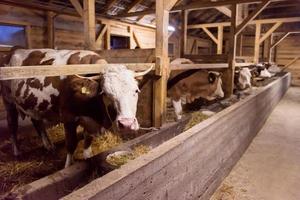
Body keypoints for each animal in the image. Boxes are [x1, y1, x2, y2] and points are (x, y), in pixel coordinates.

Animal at [0, 48, 151, 167]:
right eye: (105, 93)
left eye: (136, 90)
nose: (127, 124)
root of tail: (13, 50)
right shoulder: (68, 118)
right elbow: (71, 144)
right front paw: (68, 166)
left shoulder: (90, 121)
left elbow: (88, 141)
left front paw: (88, 157)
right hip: (8, 101)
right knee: (12, 124)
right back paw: (17, 152)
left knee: (37, 122)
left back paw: (49, 146)